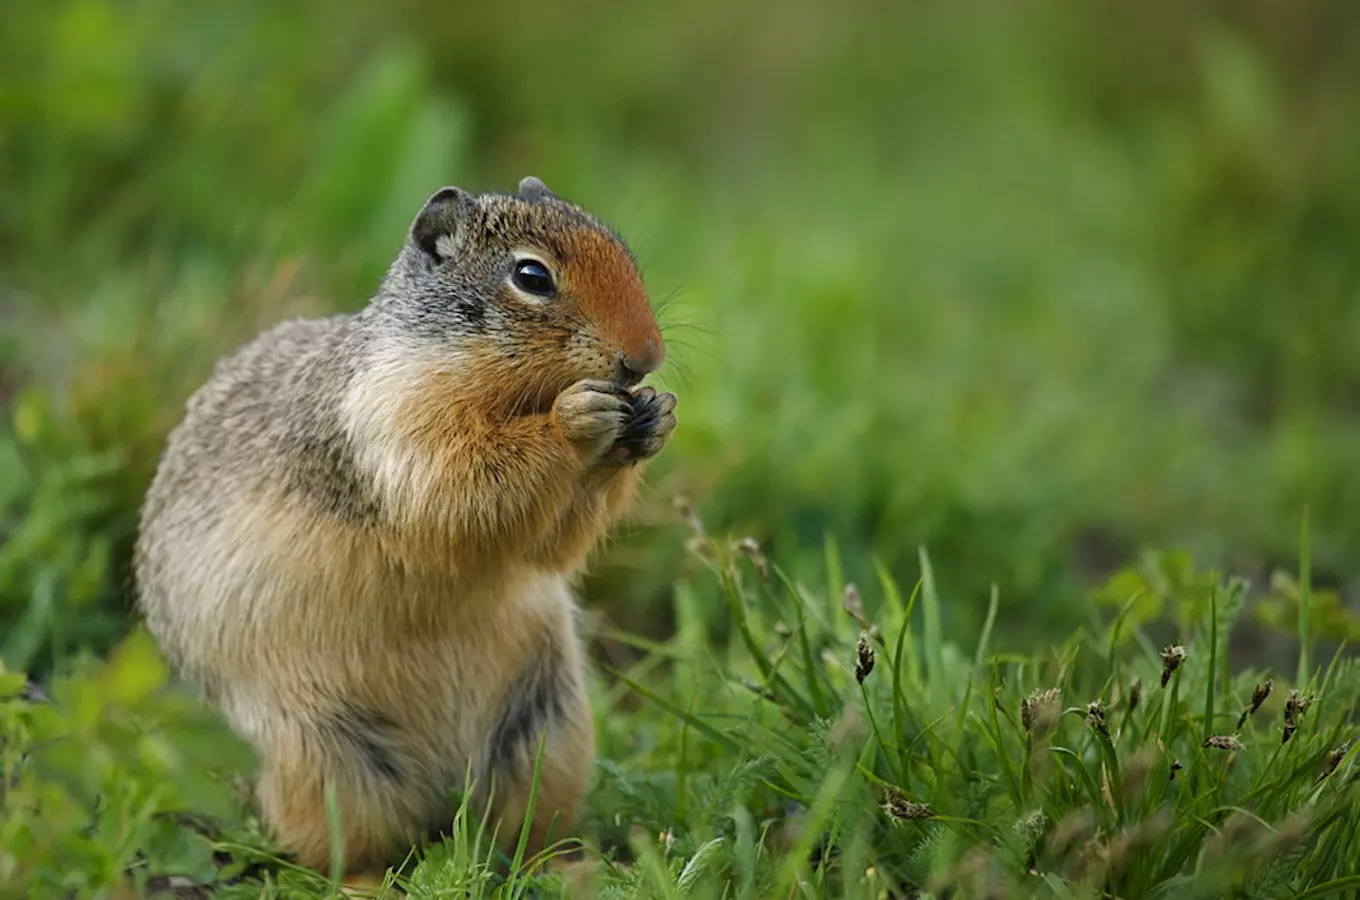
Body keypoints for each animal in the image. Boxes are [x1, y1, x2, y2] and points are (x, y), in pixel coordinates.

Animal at [132, 178, 674, 886]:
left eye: (619, 247)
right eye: (532, 276)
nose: (647, 357)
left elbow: (550, 545)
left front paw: (654, 418)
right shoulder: (398, 424)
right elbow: (463, 489)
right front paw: (577, 418)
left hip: (546, 734)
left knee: (523, 836)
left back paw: (569, 870)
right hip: (323, 761)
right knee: (343, 855)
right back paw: (370, 886)